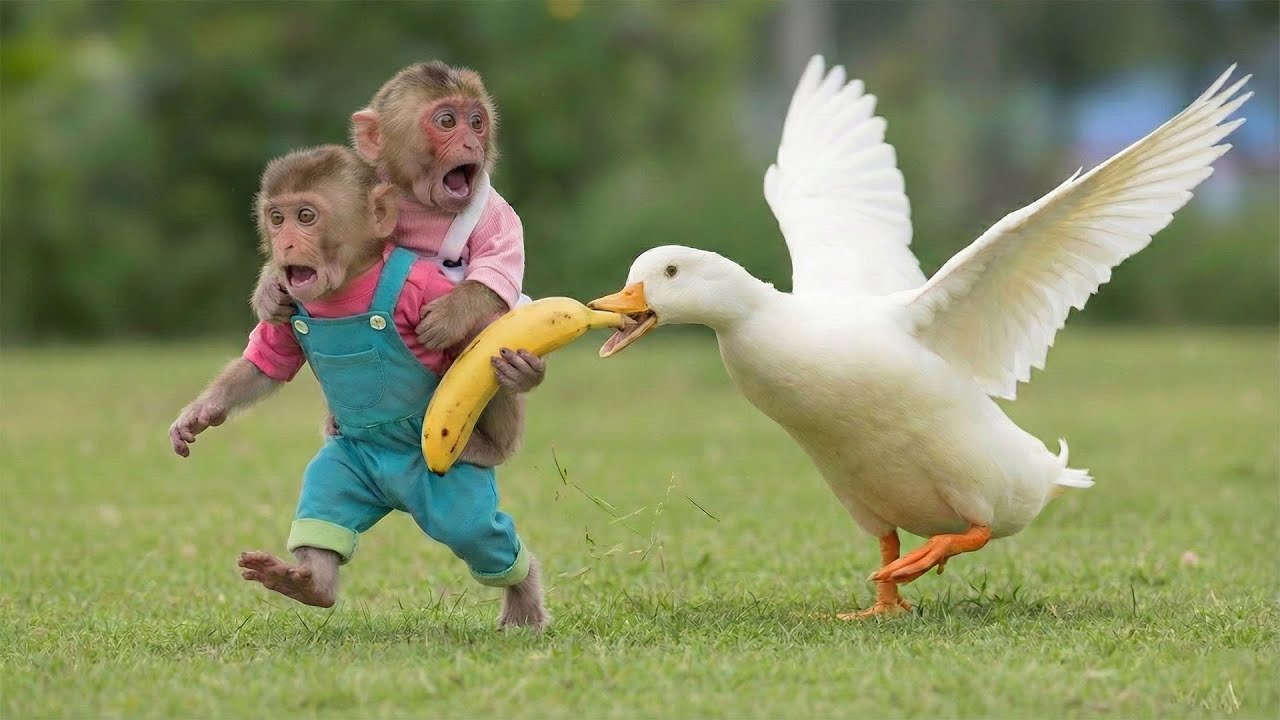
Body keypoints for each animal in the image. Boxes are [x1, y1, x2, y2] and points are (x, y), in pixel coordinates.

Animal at [171, 145, 550, 629]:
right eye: (276, 218)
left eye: (306, 216)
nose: (284, 243)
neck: (350, 284)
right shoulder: (291, 311)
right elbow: (268, 363)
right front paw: (198, 416)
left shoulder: (430, 291)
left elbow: (476, 338)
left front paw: (522, 371)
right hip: (355, 461)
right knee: (328, 500)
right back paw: (309, 582)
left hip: (452, 484)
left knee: (478, 534)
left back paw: (522, 589)